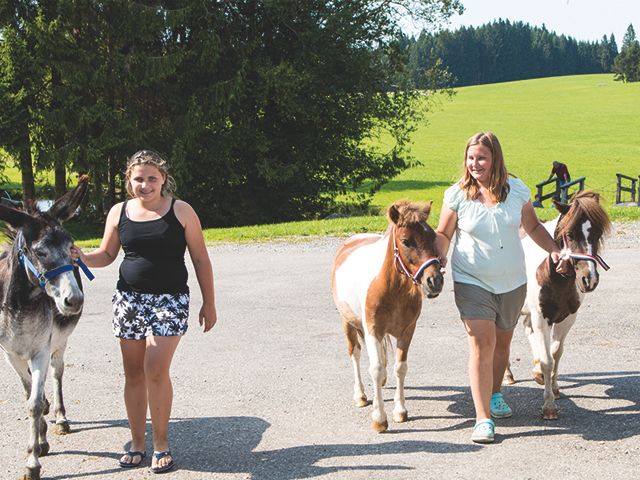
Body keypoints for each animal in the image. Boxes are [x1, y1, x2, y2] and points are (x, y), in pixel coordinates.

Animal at [0, 176, 94, 480]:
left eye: (71, 248)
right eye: (40, 251)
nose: (74, 300)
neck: (20, 306)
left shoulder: (41, 350)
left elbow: (35, 402)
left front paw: (33, 460)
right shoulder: (10, 354)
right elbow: (30, 395)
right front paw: (38, 443)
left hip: (60, 343)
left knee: (57, 373)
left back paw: (60, 417)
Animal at [332, 201, 442, 434]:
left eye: (433, 237)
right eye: (406, 241)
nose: (434, 281)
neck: (392, 288)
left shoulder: (407, 331)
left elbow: (399, 367)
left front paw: (400, 411)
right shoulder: (373, 329)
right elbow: (374, 368)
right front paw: (379, 418)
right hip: (348, 323)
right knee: (355, 354)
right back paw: (361, 396)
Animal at [508, 189, 612, 418]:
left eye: (597, 233)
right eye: (570, 234)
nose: (588, 279)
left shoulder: (567, 318)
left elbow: (555, 353)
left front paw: (553, 388)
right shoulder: (542, 317)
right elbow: (548, 360)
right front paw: (548, 406)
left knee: (528, 331)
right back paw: (508, 375)